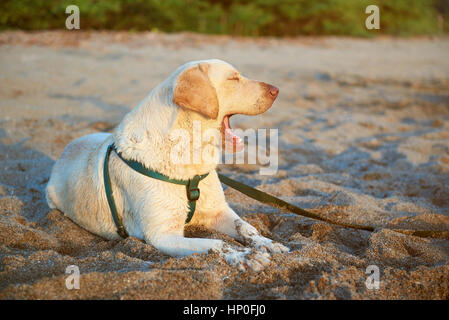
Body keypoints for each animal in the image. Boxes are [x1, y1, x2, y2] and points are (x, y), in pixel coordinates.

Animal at [45, 59, 288, 270]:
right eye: (233, 78)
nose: (276, 90)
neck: (189, 155)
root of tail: (69, 145)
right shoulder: (162, 235)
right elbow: (217, 244)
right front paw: (246, 256)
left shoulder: (218, 211)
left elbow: (246, 228)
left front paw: (268, 243)